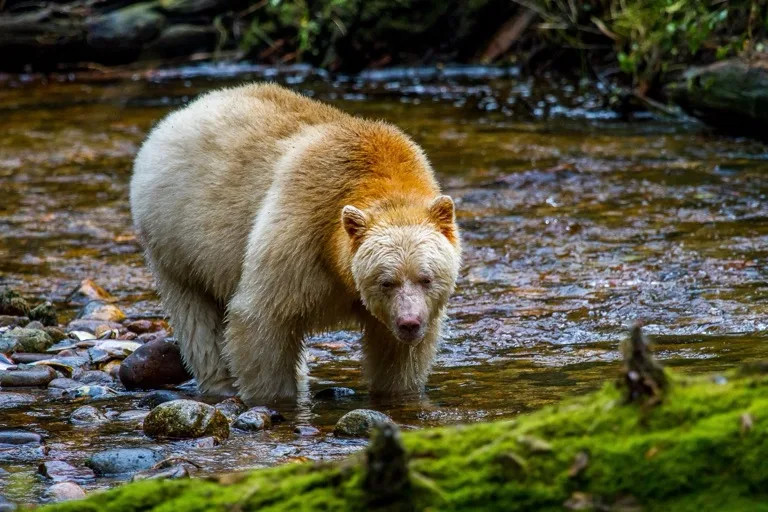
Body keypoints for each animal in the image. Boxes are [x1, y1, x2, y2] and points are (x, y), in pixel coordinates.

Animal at [130, 83, 461, 402]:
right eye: (386, 281)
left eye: (426, 278)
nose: (409, 323)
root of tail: (182, 112)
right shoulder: (302, 226)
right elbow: (262, 317)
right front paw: (275, 398)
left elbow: (396, 356)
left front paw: (399, 392)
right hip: (175, 241)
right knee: (197, 321)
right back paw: (220, 383)